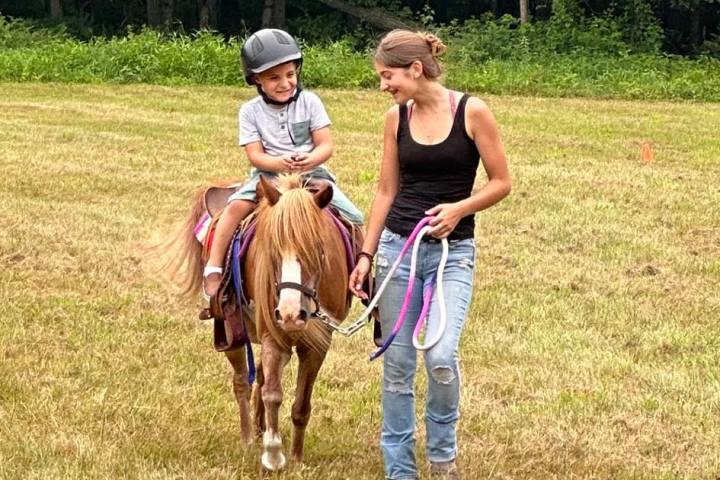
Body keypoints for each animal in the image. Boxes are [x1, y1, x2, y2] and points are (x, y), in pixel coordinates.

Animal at [163, 174, 354, 470]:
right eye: (273, 249)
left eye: (318, 247)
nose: (290, 313)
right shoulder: (273, 336)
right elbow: (272, 394)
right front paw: (273, 455)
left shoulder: (317, 345)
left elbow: (301, 404)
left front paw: (297, 458)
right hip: (231, 332)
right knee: (242, 381)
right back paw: (247, 439)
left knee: (261, 377)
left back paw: (259, 427)